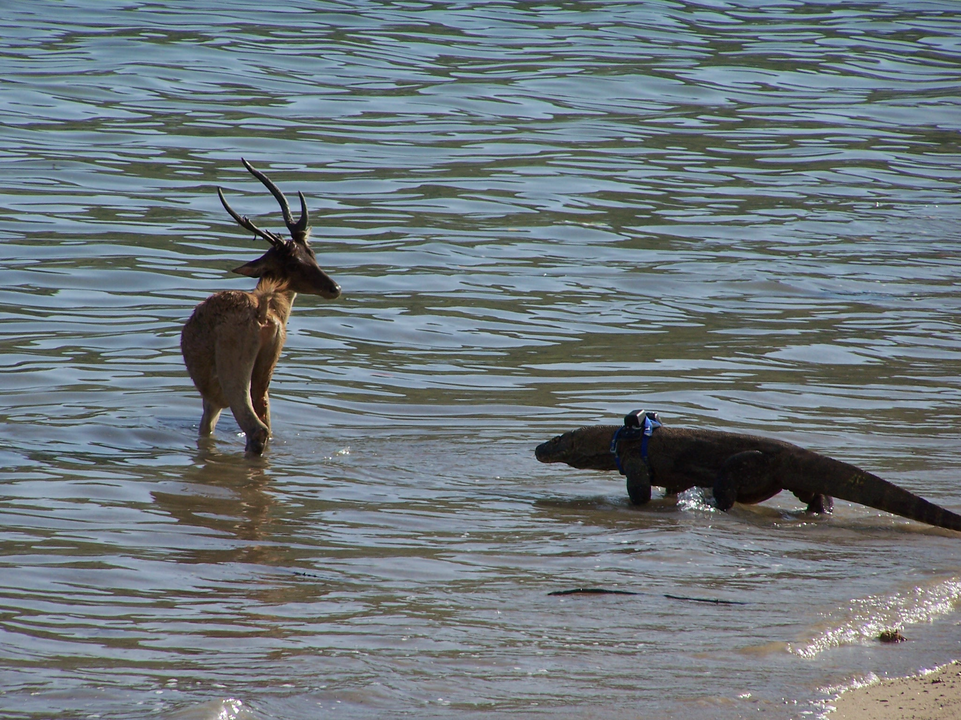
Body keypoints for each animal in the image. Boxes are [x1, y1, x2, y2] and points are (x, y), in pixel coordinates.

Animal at [181, 159, 342, 456]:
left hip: (232, 366)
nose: (334, 288)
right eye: (297, 261)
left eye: (312, 254)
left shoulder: (210, 398)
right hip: (266, 365)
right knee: (265, 420)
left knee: (256, 427)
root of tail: (262, 312)